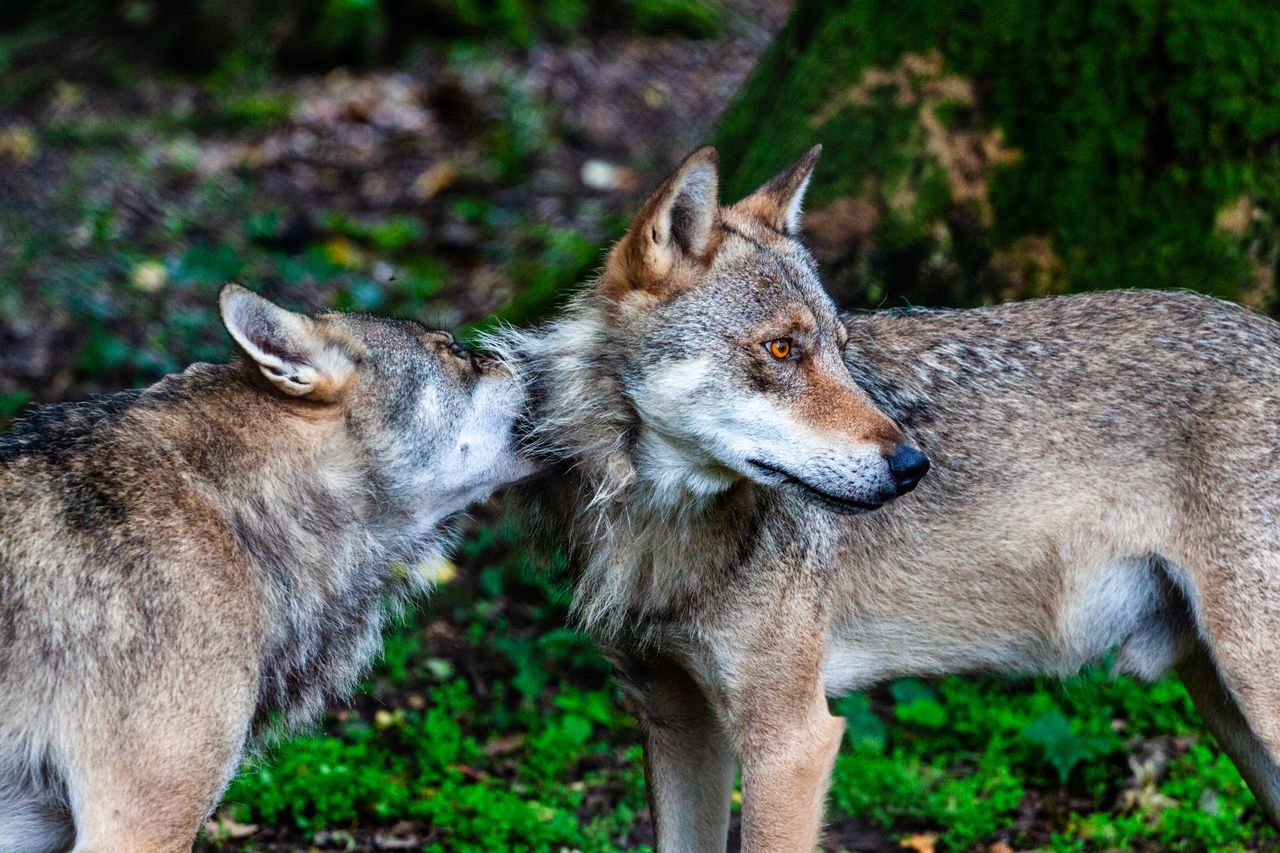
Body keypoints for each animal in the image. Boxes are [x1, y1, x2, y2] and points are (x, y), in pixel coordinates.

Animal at [491, 146, 1280, 850]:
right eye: (782, 350)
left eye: (841, 349)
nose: (913, 465)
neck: (662, 528)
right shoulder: (677, 725)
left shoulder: (792, 742)